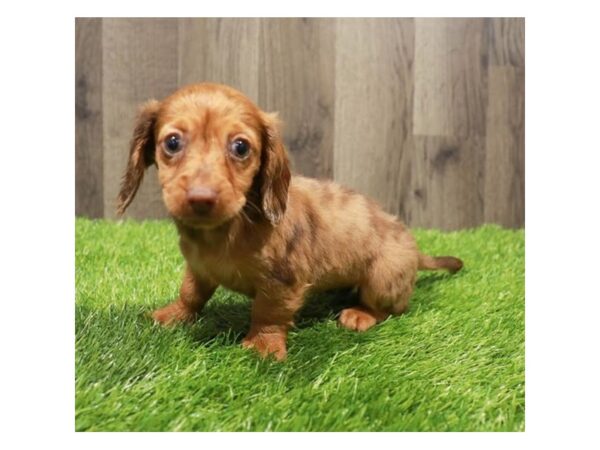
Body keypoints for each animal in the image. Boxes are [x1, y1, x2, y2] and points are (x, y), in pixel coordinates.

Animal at [118, 81, 464, 362]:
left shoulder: (282, 281)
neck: (229, 230)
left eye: (240, 147)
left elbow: (268, 313)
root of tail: (415, 251)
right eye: (172, 143)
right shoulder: (200, 269)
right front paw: (175, 314)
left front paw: (263, 346)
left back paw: (360, 314)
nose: (200, 198)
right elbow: (191, 293)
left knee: (387, 307)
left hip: (383, 279)